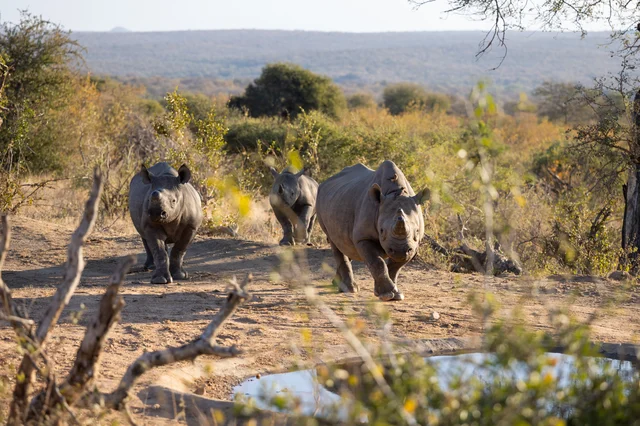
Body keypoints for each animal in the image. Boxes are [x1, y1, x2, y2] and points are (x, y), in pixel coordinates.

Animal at [316, 161, 430, 301]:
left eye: (417, 231)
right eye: (381, 231)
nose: (399, 251)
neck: (396, 192)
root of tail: (324, 182)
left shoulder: (413, 245)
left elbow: (394, 267)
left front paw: (395, 294)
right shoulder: (364, 237)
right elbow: (377, 262)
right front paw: (386, 294)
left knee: (345, 244)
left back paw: (337, 284)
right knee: (335, 243)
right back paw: (349, 289)